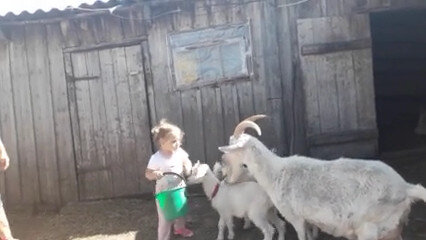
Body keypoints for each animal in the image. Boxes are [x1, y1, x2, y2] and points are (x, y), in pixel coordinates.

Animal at [218, 116, 426, 240]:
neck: (276, 173)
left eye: (230, 150)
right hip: (390, 229)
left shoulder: (295, 217)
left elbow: (301, 235)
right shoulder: (307, 219)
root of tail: (405, 187)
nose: (225, 177)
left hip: (370, 227)